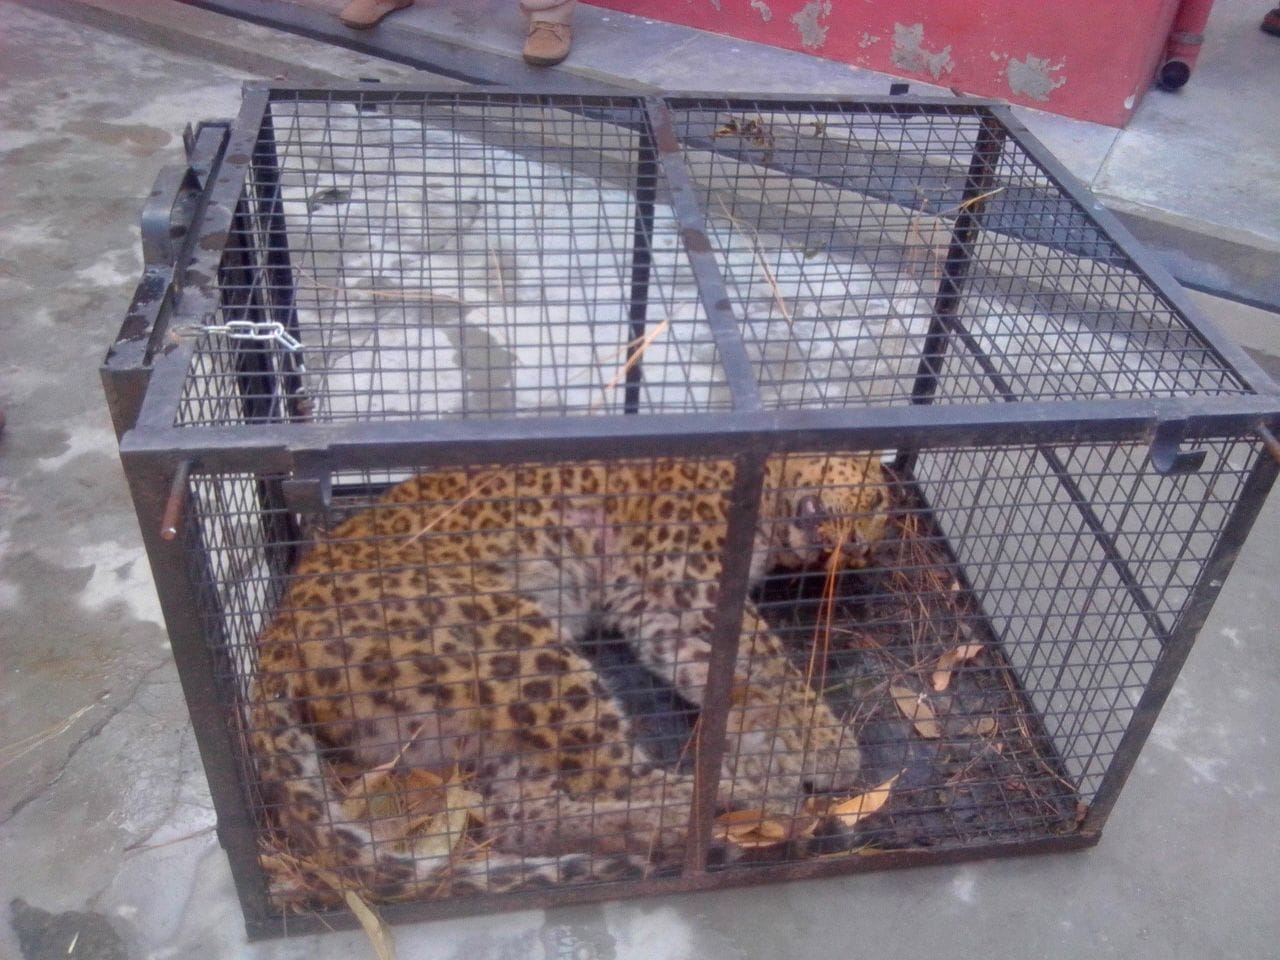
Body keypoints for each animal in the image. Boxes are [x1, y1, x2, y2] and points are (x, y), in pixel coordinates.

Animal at [249, 452, 889, 902]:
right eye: (880, 499)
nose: (857, 547)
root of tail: (274, 640)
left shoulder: (667, 614)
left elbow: (740, 673)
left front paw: (774, 733)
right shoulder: (685, 591)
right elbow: (774, 664)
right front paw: (831, 748)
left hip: (479, 720)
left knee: (523, 819)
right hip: (517, 641)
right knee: (618, 778)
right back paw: (753, 796)